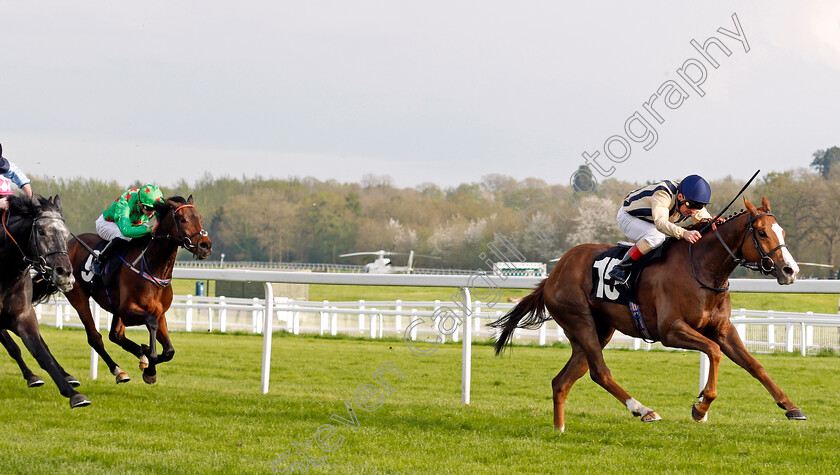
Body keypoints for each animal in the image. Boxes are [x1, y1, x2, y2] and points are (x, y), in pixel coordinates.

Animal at [0, 195, 90, 408]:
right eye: (41, 232)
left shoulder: (23, 316)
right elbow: (13, 347)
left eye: (65, 234)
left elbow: (41, 353)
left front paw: (73, 394)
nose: (65, 273)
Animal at [63, 197, 212, 386]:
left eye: (199, 218)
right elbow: (151, 324)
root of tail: (69, 243)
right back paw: (119, 371)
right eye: (182, 219)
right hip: (78, 296)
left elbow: (169, 351)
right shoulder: (128, 311)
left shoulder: (159, 312)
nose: (205, 245)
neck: (153, 268)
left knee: (116, 336)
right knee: (95, 338)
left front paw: (148, 360)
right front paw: (150, 364)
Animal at [492, 197, 808, 432]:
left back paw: (560, 429)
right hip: (580, 321)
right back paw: (643, 410)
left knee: (564, 380)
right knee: (600, 372)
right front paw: (700, 407)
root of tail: (553, 275)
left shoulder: (722, 329)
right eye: (762, 232)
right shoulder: (671, 330)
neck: (703, 268)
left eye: (782, 232)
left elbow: (755, 365)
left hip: (597, 331)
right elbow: (714, 352)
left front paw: (791, 406)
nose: (790, 270)